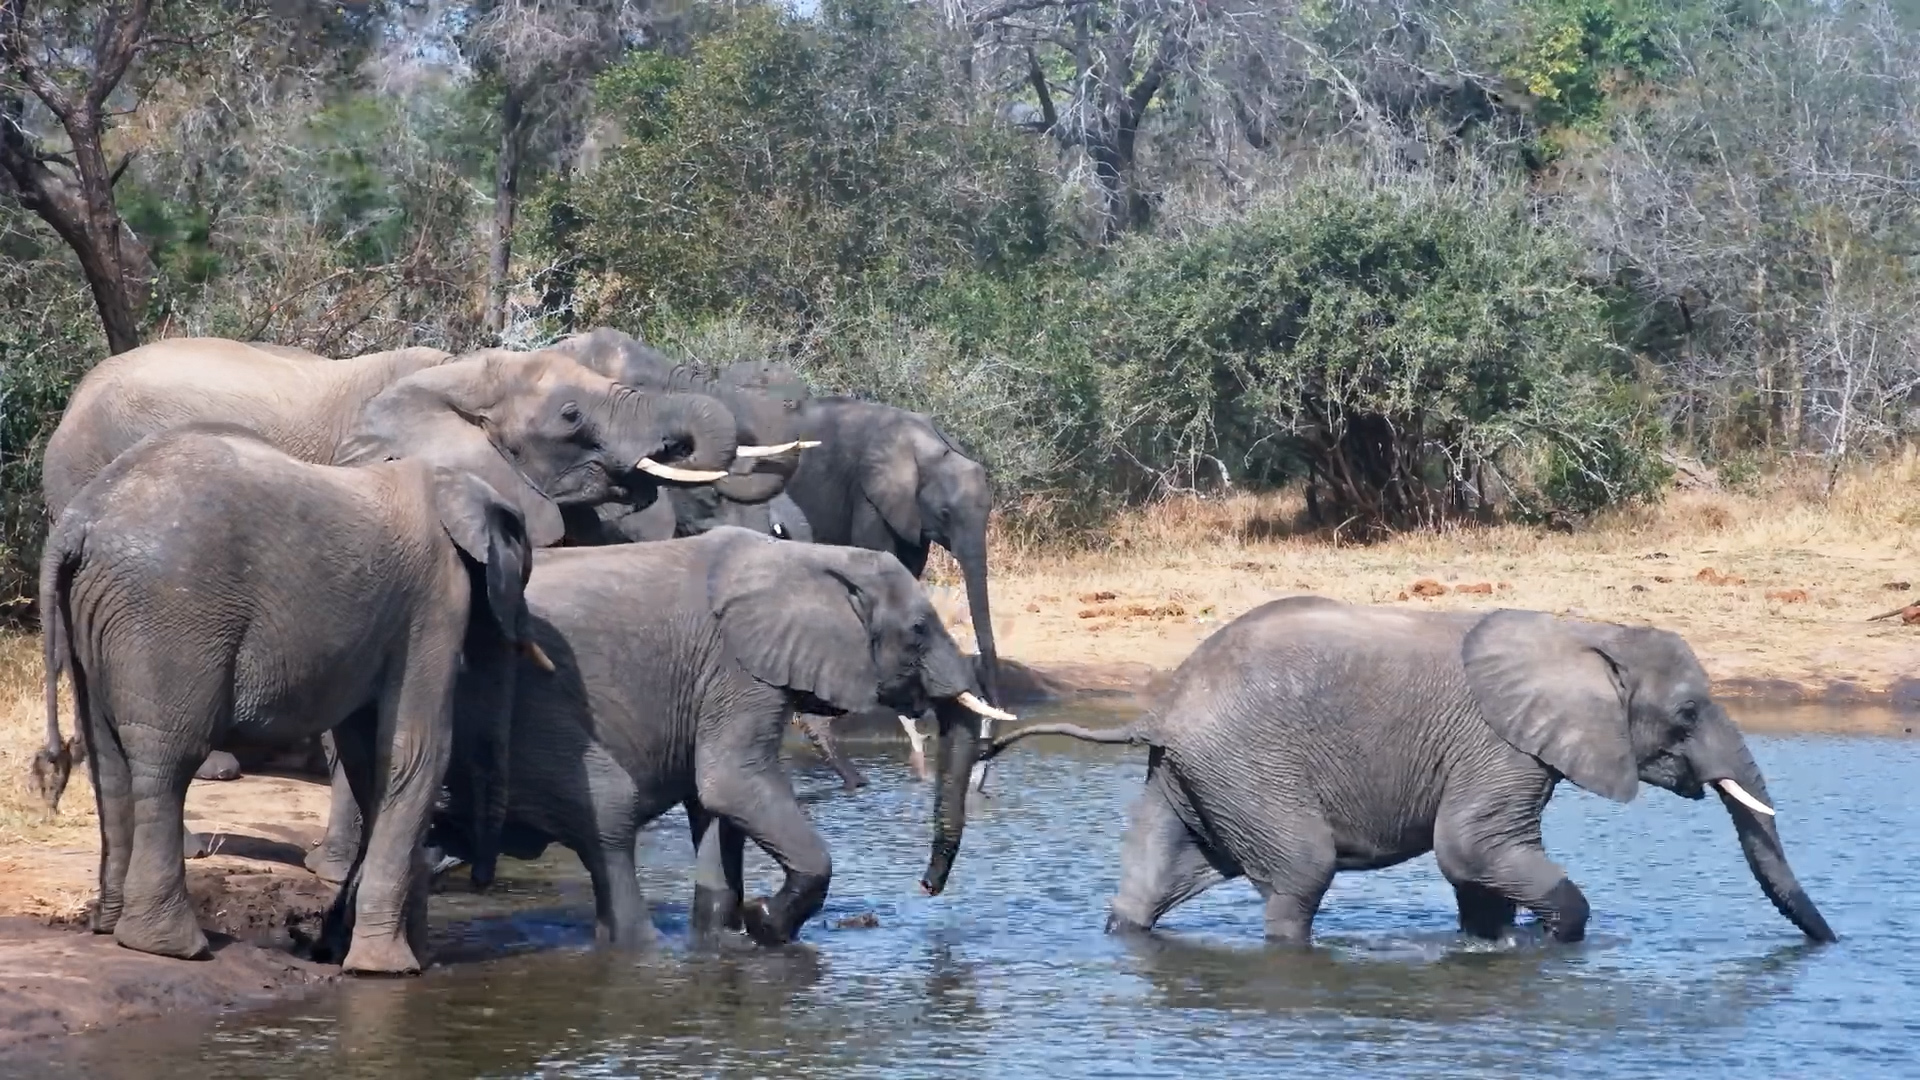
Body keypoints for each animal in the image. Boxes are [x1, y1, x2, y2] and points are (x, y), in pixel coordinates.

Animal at [39, 423, 536, 973]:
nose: (481, 879)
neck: (449, 482)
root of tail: (79, 520)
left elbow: (373, 762)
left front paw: (370, 952)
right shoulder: (435, 598)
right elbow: (416, 754)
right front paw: (388, 969)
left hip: (93, 615)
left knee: (109, 761)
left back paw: (112, 928)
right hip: (166, 616)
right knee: (168, 762)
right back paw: (172, 946)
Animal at [424, 527, 1014, 948]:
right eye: (918, 631)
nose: (925, 887)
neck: (809, 557)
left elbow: (715, 809)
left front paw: (724, 936)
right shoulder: (737, 668)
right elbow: (731, 784)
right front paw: (765, 922)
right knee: (609, 818)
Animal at [980, 597, 1838, 946]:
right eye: (1688, 713)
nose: (1834, 945)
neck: (1588, 631)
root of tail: (1162, 708)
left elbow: (1479, 870)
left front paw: (1497, 940)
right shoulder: (1498, 743)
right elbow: (1471, 847)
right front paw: (1556, 938)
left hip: (1195, 774)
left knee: (1149, 881)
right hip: (1247, 768)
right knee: (1301, 874)